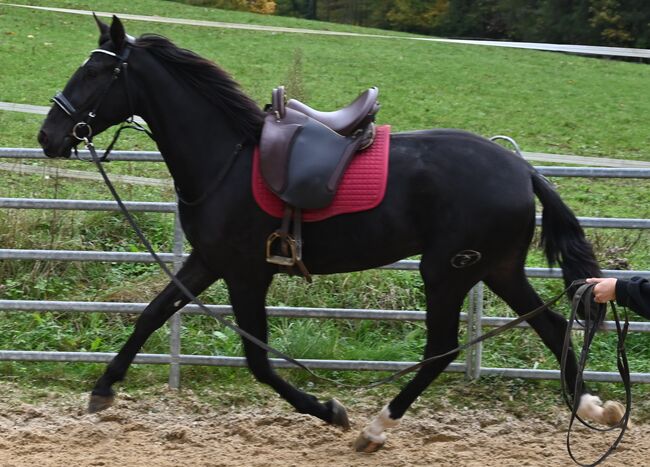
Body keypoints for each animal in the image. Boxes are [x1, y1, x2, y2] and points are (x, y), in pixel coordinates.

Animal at [38, 17, 620, 454]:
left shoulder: (246, 274)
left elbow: (258, 361)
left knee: (442, 349)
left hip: (447, 272)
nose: (48, 136)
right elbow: (151, 315)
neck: (227, 157)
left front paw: (328, 410)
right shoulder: (207, 262)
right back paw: (592, 406)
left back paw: (376, 428)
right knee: (551, 325)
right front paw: (103, 389)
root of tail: (523, 170)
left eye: (96, 72)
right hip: (495, 267)